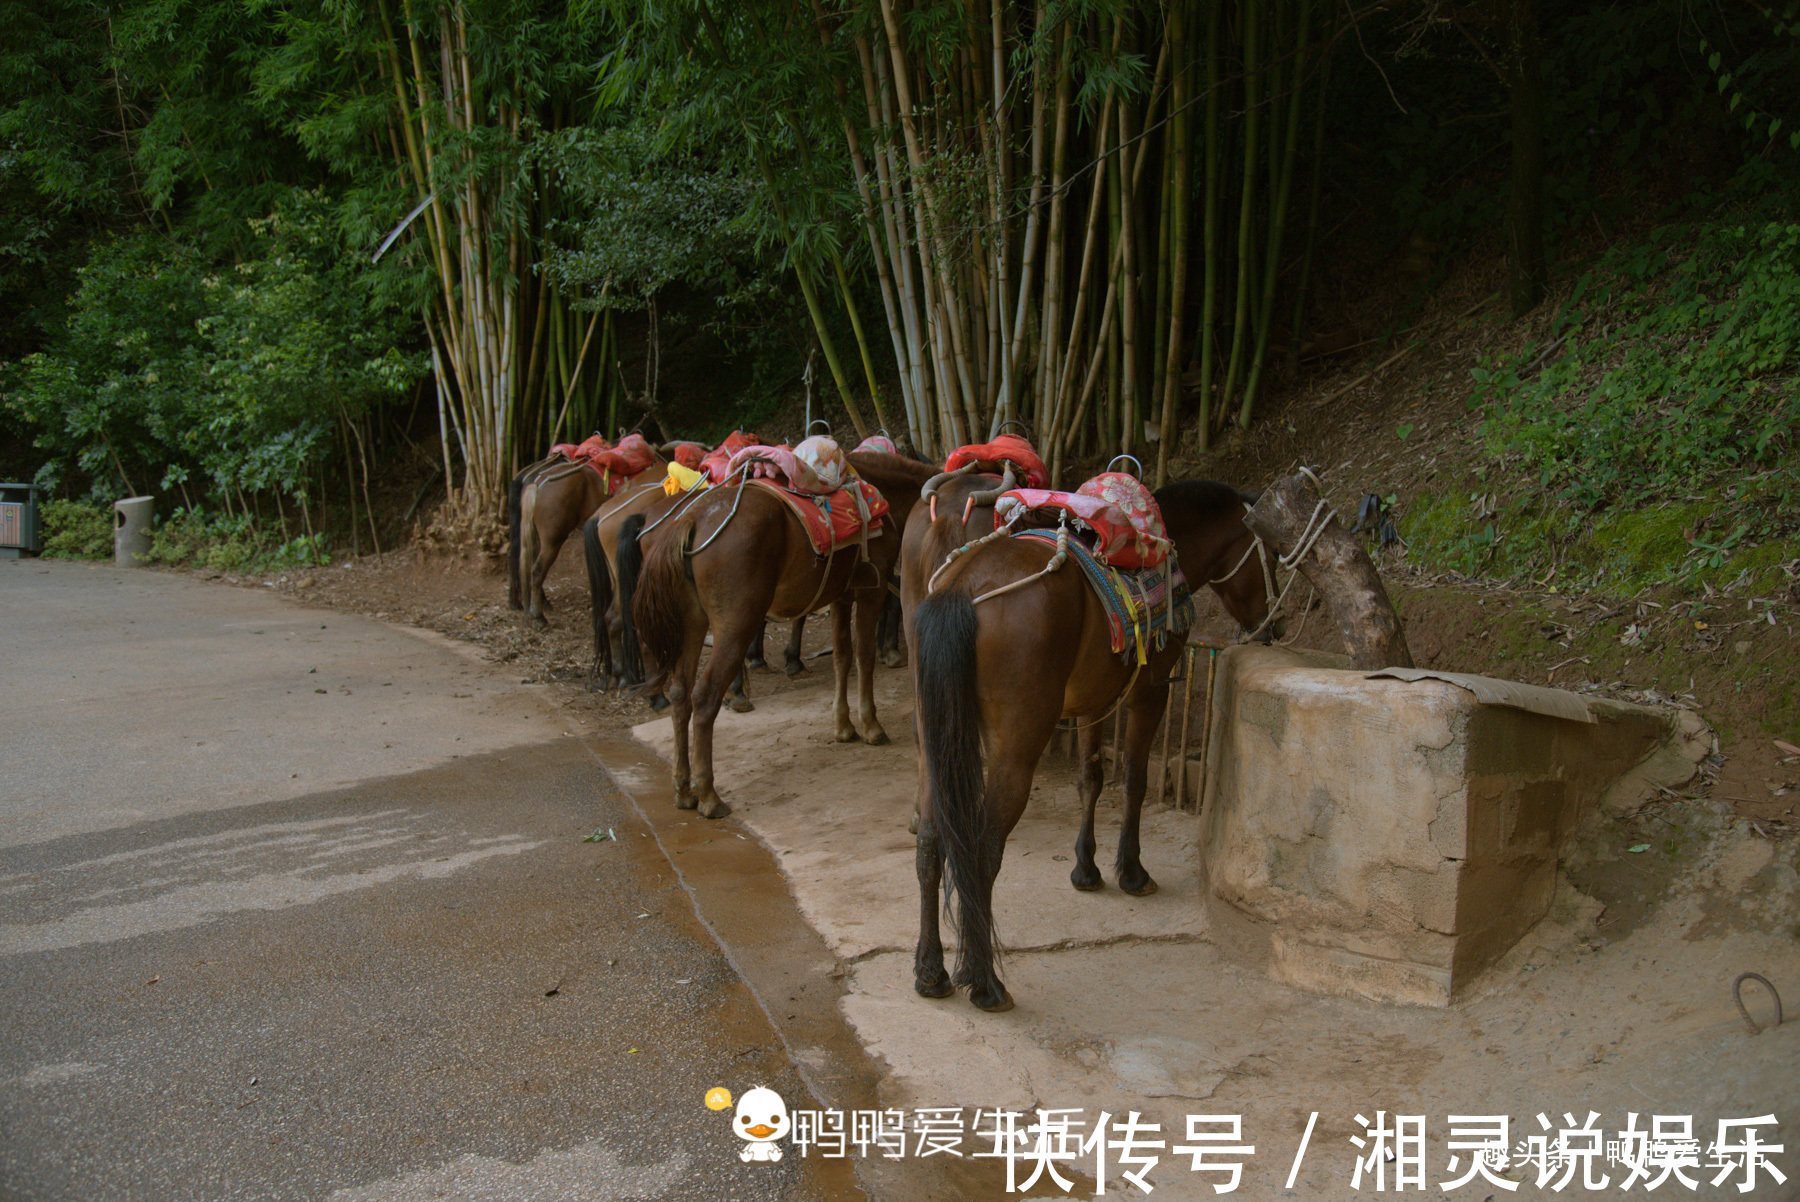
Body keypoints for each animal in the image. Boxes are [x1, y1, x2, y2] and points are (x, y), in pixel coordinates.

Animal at [633, 449, 936, 816]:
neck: (885, 497)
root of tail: (691, 520)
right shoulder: (870, 591)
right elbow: (864, 656)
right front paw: (870, 726)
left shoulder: (840, 596)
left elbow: (842, 657)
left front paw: (843, 726)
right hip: (736, 626)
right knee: (704, 697)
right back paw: (709, 796)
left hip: (691, 626)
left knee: (680, 694)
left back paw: (683, 789)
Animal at [914, 475, 1281, 1007]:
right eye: (1271, 553)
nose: (1276, 625)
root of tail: (963, 589)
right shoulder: (1149, 693)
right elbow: (1135, 782)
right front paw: (1131, 871)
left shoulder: (1089, 701)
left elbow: (1090, 778)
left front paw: (1086, 868)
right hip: (1014, 747)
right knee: (981, 849)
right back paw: (984, 981)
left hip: (935, 739)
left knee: (930, 842)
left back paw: (930, 971)